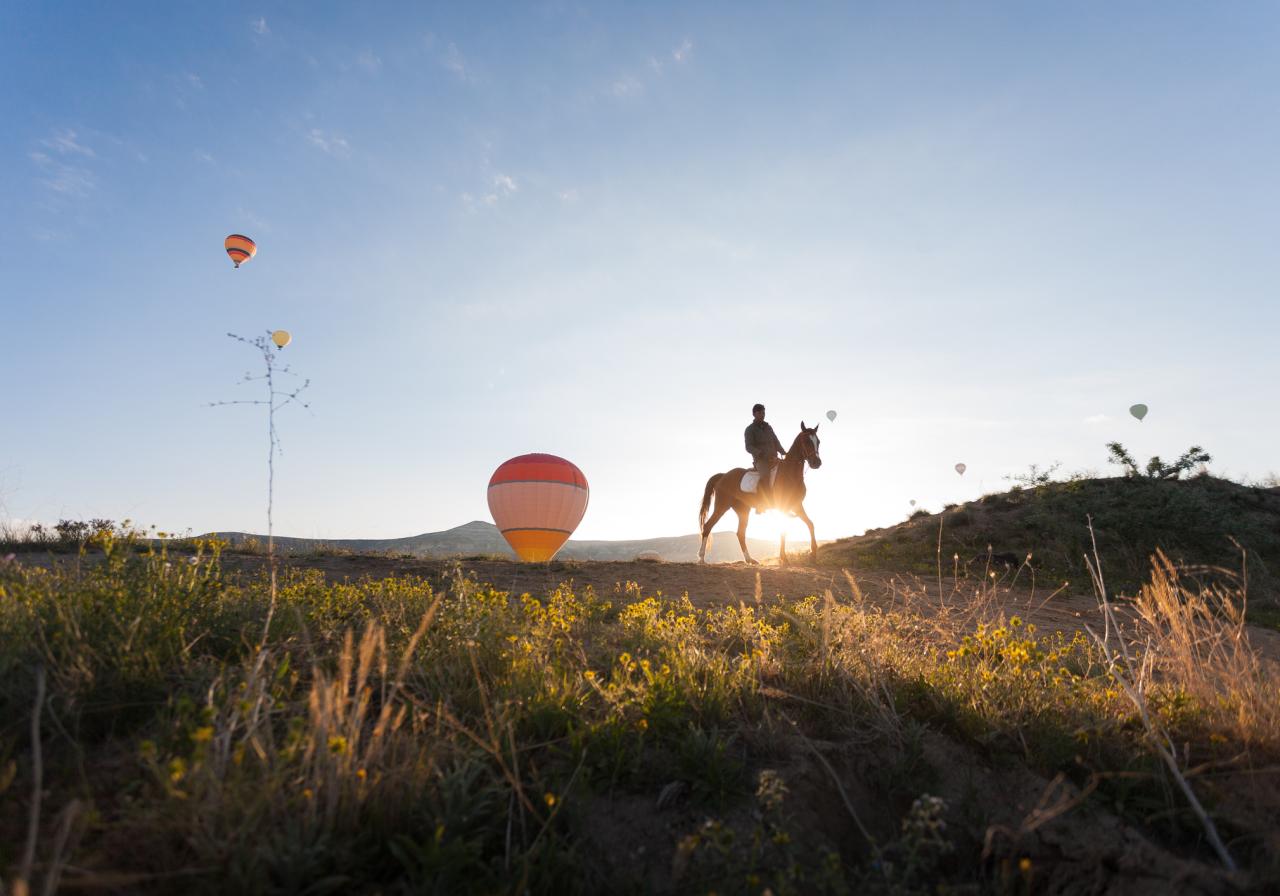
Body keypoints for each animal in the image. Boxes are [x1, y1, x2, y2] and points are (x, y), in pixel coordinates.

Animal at [701, 422, 819, 563]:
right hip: (721, 506)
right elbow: (783, 530)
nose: (817, 463)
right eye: (806, 441)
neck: (790, 473)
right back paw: (701, 558)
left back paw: (750, 559)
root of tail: (723, 476)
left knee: (740, 533)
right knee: (708, 526)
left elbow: (811, 524)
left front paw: (813, 553)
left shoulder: (797, 505)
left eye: (818, 441)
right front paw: (783, 558)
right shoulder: (783, 507)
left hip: (743, 510)